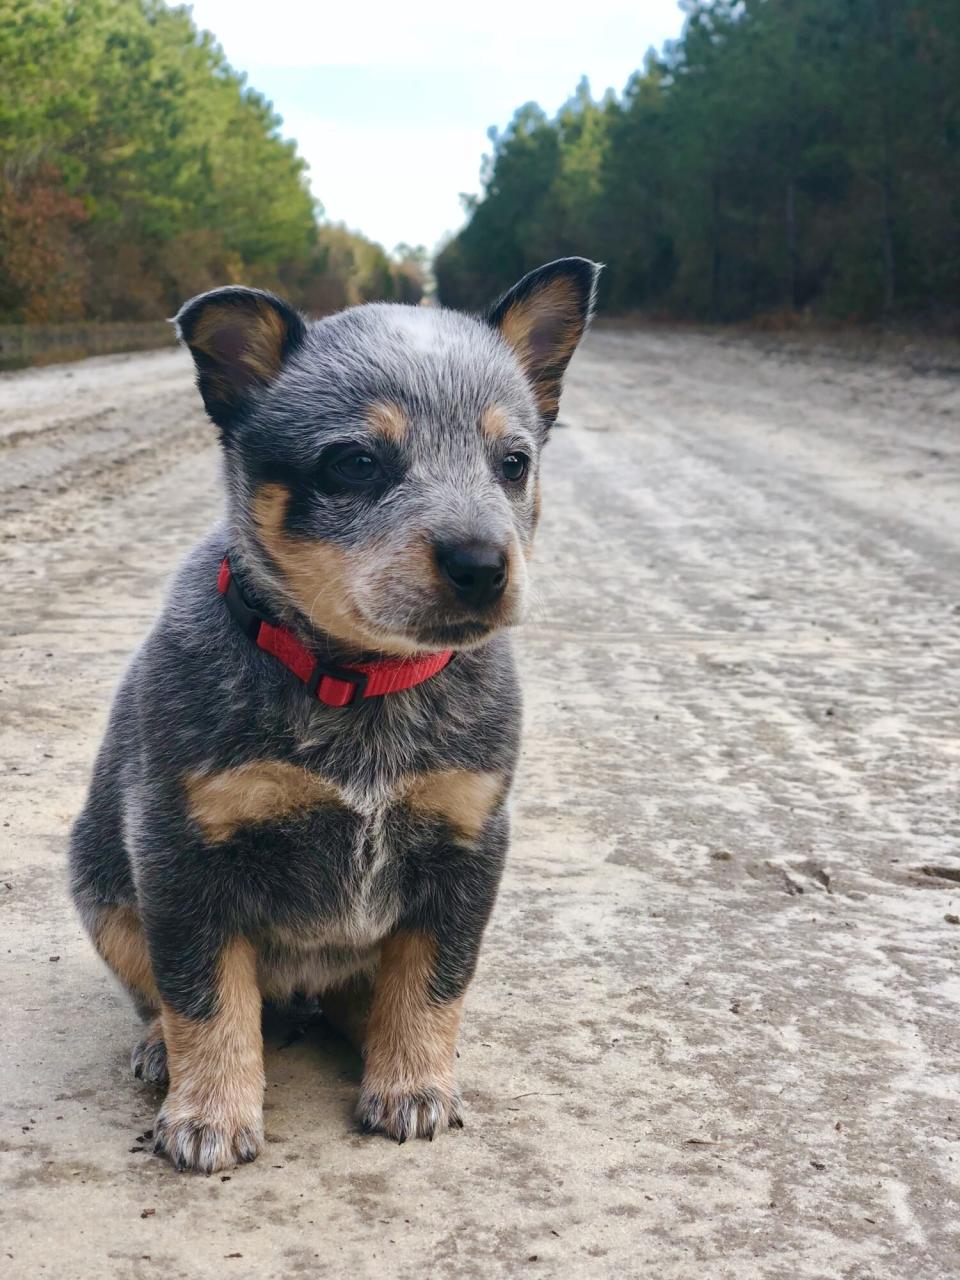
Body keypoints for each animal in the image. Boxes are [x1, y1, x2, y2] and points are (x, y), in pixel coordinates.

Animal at [67, 257, 599, 1172]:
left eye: (513, 462)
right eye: (355, 462)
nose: (482, 563)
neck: (362, 686)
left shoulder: (469, 839)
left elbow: (434, 981)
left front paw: (414, 1082)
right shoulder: (180, 846)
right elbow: (204, 994)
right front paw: (210, 1112)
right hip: (103, 891)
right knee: (160, 992)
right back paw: (161, 1049)